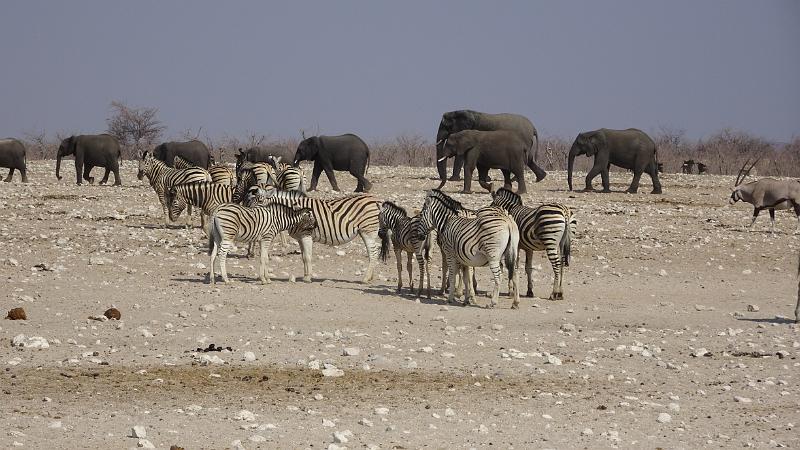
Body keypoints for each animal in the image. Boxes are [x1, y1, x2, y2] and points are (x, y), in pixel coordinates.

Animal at [244, 185, 382, 284]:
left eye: (260, 200)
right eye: (250, 202)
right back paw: (370, 277)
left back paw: (366, 279)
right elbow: (304, 257)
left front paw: (308, 278)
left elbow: (308, 257)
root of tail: (376, 199)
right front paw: (305, 276)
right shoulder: (300, 237)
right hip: (366, 232)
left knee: (373, 253)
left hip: (368, 231)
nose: (251, 216)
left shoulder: (306, 234)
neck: (293, 211)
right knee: (373, 253)